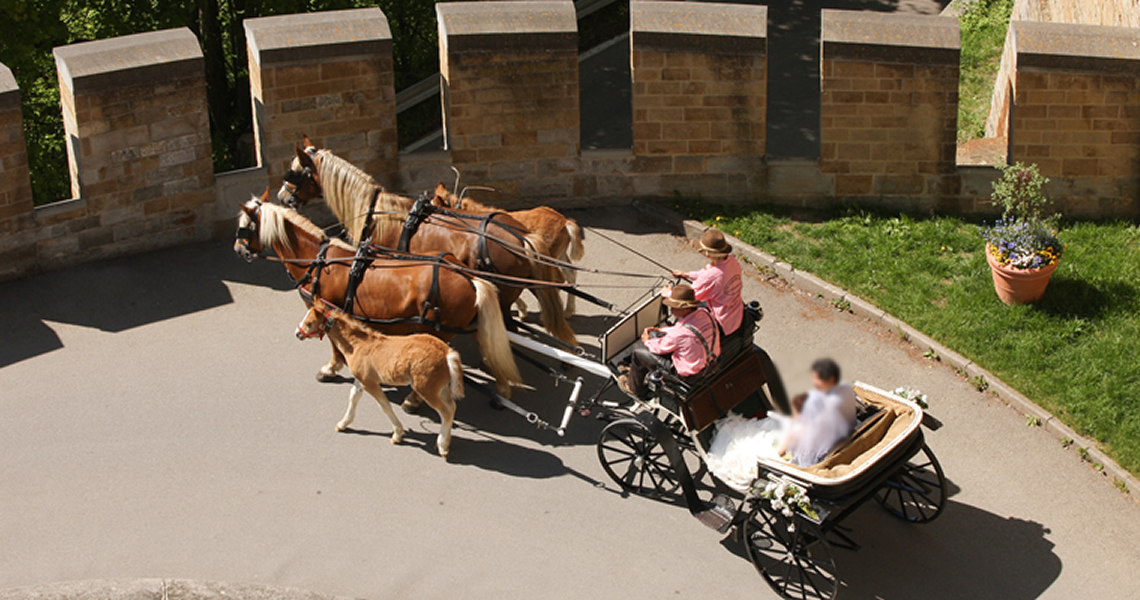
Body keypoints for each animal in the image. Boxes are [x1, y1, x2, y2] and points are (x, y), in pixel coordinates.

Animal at [235, 189, 522, 398]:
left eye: (244, 227)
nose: (238, 249)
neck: (318, 260)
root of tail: (468, 276)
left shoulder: (325, 310)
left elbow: (333, 344)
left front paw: (330, 368)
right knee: (486, 341)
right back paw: (502, 386)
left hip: (438, 329)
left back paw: (414, 399)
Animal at [296, 299, 465, 459]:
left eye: (310, 323)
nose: (297, 334)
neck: (358, 345)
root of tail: (447, 353)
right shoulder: (361, 379)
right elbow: (353, 396)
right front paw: (343, 423)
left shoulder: (370, 383)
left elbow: (384, 405)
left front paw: (397, 434)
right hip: (440, 388)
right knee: (452, 406)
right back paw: (444, 442)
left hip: (426, 389)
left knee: (445, 411)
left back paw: (442, 446)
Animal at [430, 182, 586, 315]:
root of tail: (565, 222)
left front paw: (521, 310)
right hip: (559, 255)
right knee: (570, 274)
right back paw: (567, 311)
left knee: (557, 279)